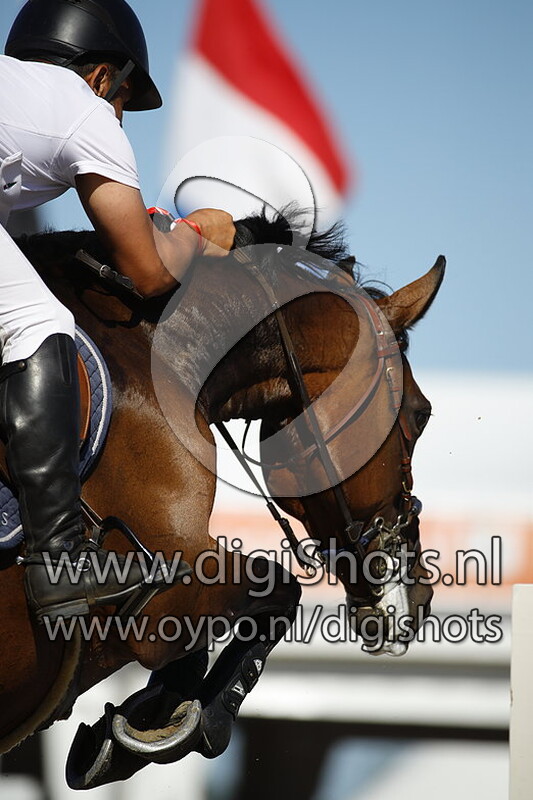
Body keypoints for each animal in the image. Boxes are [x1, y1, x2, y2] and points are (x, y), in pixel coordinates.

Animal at [0, 210, 444, 788]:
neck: (160, 353)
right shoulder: (158, 596)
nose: (418, 599)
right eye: (420, 413)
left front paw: (151, 715)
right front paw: (188, 721)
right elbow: (278, 593)